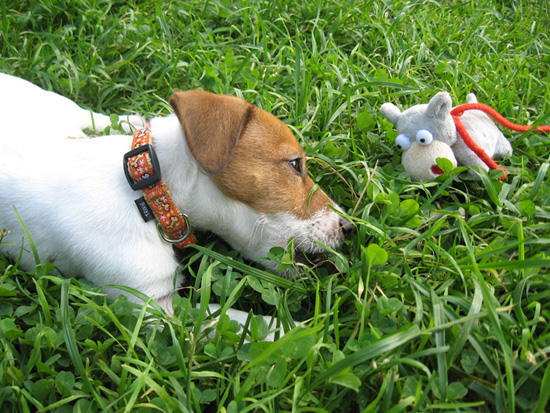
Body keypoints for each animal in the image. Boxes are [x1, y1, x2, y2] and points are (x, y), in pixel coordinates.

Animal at [0, 73, 350, 331]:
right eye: (294, 164)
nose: (349, 226)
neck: (147, 190)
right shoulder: (152, 306)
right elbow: (233, 321)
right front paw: (311, 331)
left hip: (53, 105)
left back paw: (133, 121)